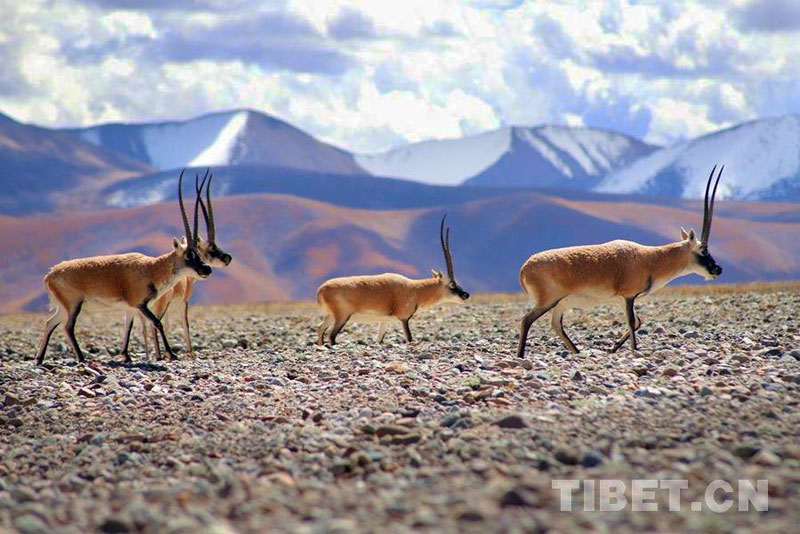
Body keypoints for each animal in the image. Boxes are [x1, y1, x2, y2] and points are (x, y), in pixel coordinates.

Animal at [34, 172, 212, 368]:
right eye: (189, 255)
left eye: (199, 253)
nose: (207, 269)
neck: (152, 268)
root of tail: (50, 275)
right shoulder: (140, 304)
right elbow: (157, 323)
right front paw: (171, 354)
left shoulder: (131, 307)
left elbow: (128, 327)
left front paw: (126, 356)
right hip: (73, 305)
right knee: (68, 327)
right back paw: (81, 358)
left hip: (63, 307)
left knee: (50, 323)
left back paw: (40, 359)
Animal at [316, 215, 472, 348]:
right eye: (452, 284)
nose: (466, 295)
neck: (415, 289)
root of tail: (321, 289)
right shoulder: (404, 319)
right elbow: (409, 339)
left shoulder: (384, 322)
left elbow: (379, 340)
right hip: (342, 317)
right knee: (331, 336)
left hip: (330, 316)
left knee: (320, 328)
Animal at [516, 166, 728, 360]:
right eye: (704, 250)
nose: (718, 269)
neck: (651, 259)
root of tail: (525, 268)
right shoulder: (629, 296)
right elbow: (632, 322)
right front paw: (635, 350)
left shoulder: (622, 299)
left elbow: (638, 322)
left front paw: (613, 348)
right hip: (548, 301)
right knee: (527, 320)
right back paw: (521, 355)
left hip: (560, 304)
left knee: (556, 325)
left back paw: (577, 352)